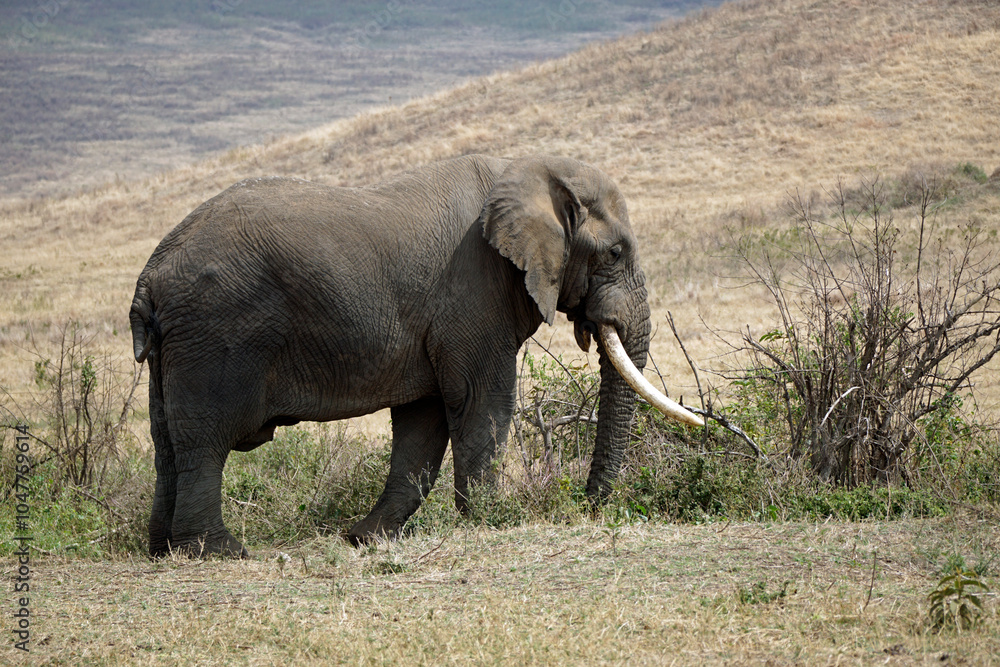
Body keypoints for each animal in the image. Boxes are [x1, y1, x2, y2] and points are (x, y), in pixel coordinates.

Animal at [129, 154, 702, 558]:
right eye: (615, 252)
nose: (590, 505)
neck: (529, 170)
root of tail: (151, 274)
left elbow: (423, 422)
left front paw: (364, 539)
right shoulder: (475, 290)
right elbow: (481, 400)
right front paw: (492, 521)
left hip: (177, 345)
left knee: (166, 440)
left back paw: (161, 550)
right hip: (216, 332)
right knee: (205, 437)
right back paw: (218, 552)